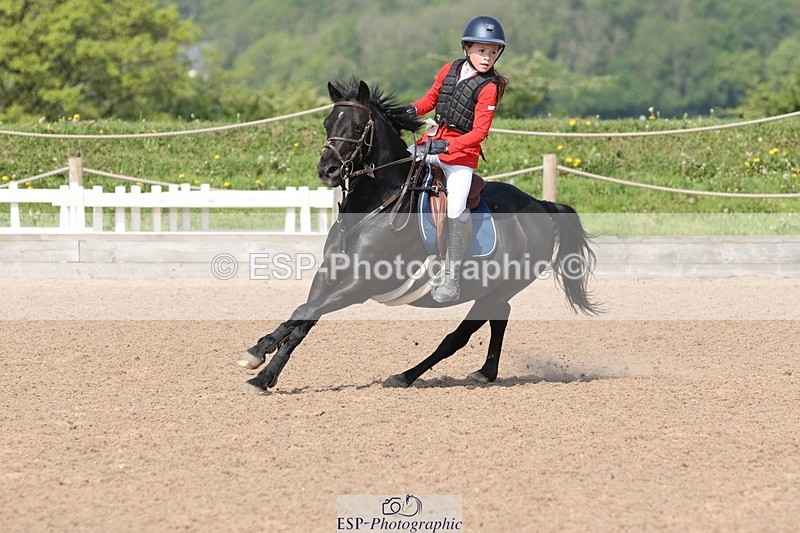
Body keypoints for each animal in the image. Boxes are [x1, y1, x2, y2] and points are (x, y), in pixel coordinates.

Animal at [238, 79, 599, 391]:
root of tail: (540, 205)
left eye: (357, 127)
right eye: (328, 124)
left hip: (500, 287)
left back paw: (407, 375)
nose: (327, 171)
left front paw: (257, 356)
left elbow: (304, 312)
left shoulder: (360, 283)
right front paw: (264, 370)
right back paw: (484, 372)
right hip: (493, 289)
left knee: (459, 336)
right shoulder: (330, 273)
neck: (377, 200)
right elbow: (303, 317)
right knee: (500, 317)